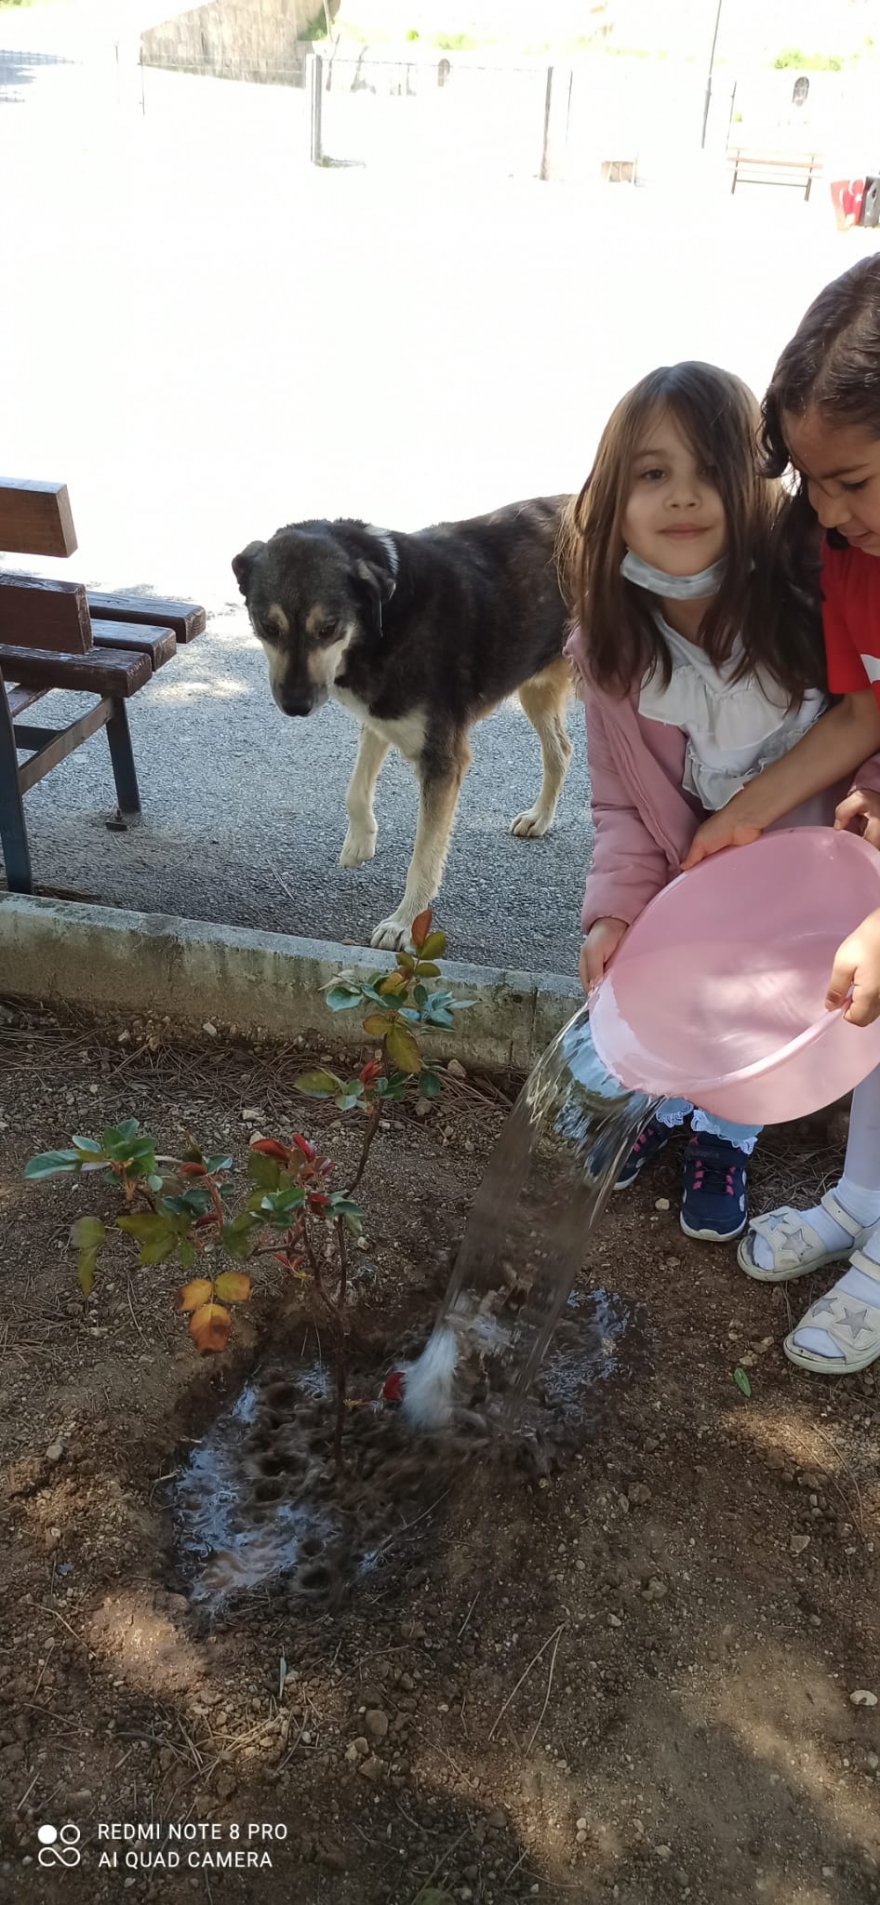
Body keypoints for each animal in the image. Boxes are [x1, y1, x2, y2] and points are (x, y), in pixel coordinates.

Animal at [233, 495, 575, 948]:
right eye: (268, 627)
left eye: (328, 628)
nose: (295, 706)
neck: (388, 612)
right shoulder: (379, 715)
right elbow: (355, 789)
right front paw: (360, 841)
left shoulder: (443, 760)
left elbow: (424, 857)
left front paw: (405, 922)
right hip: (536, 686)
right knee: (560, 750)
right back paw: (541, 817)